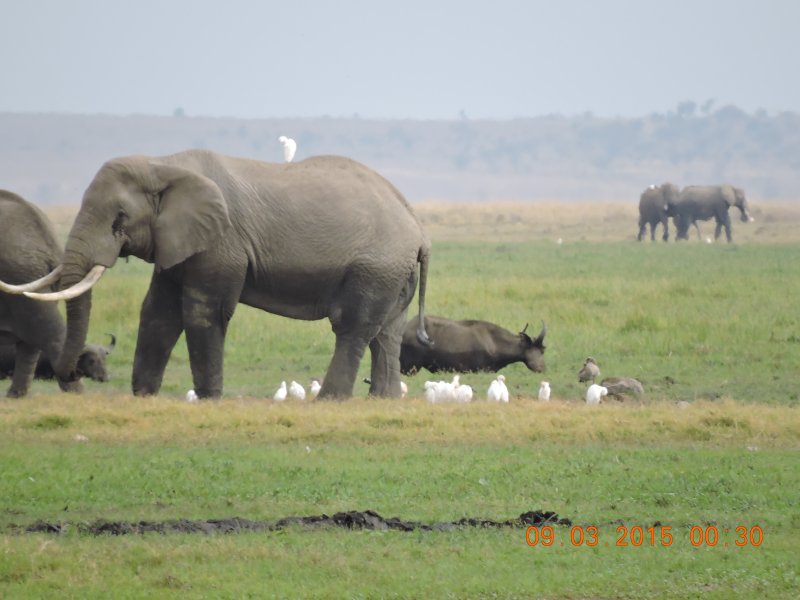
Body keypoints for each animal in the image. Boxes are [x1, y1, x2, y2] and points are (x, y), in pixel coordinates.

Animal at [24, 150, 432, 400]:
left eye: (119, 218)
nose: (75, 374)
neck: (163, 164)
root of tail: (417, 226)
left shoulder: (222, 243)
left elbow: (202, 312)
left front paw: (209, 399)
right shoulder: (178, 242)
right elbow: (157, 312)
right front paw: (144, 397)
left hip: (376, 266)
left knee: (352, 327)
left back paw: (329, 401)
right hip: (393, 271)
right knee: (386, 333)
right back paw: (382, 399)